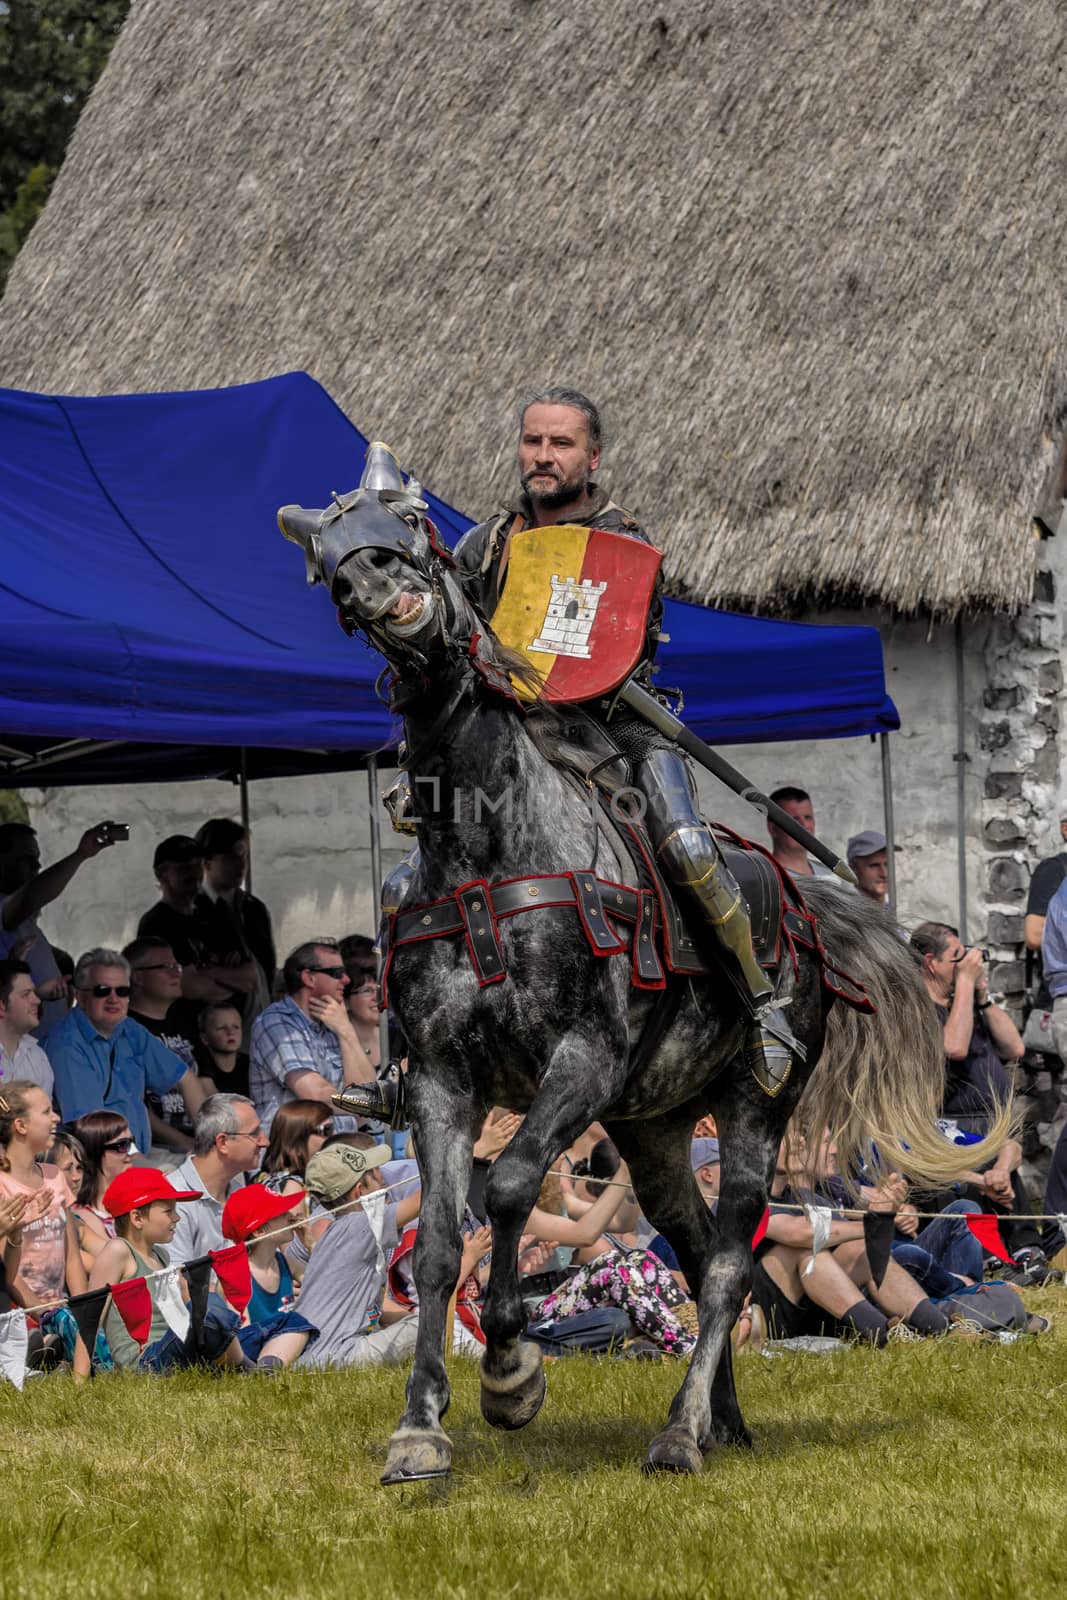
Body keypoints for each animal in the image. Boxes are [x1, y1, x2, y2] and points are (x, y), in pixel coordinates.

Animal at [281, 448, 1004, 1472]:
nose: (373, 588)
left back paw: (678, 1433)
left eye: (407, 527)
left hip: (749, 1109)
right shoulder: (440, 1083)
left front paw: (510, 1376)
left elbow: (510, 1187)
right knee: (700, 1253)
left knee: (729, 1262)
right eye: (326, 567)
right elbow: (437, 1246)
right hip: (654, 1128)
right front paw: (420, 1426)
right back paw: (717, 1418)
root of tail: (801, 905)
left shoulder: (579, 1062)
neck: (488, 848)